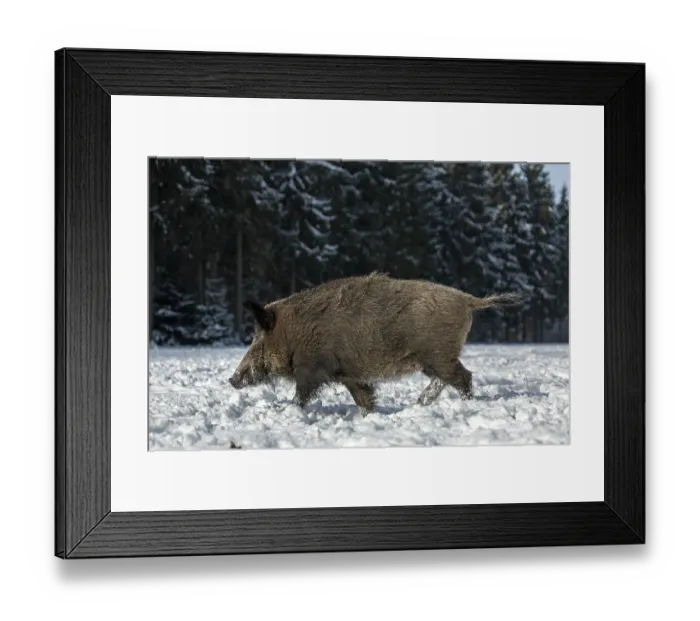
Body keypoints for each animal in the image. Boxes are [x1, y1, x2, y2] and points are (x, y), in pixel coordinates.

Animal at [228, 272, 522, 413]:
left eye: (258, 339)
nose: (232, 379)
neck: (292, 333)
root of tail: (469, 300)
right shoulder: (349, 375)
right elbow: (364, 398)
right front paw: (370, 414)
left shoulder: (311, 369)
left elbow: (301, 396)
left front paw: (291, 412)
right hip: (434, 359)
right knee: (449, 378)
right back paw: (420, 403)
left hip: (438, 354)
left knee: (464, 376)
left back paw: (457, 403)